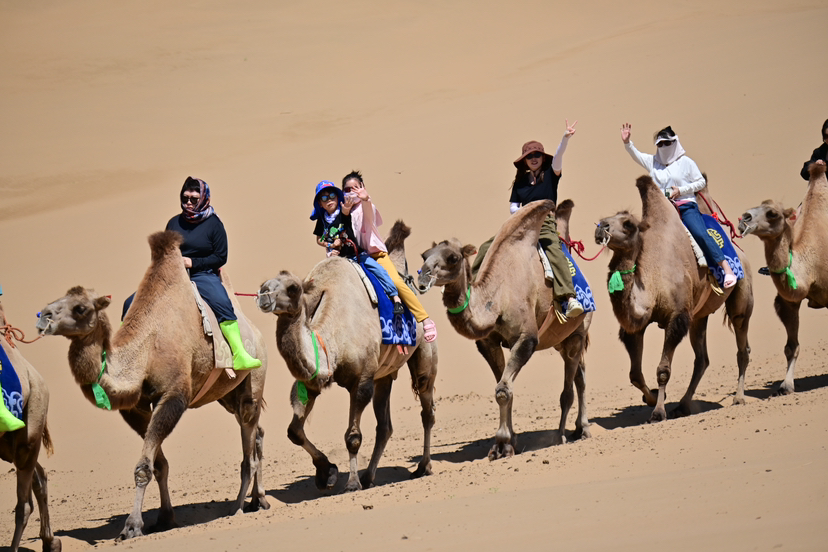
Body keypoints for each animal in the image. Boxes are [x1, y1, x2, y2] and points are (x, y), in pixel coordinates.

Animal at [35, 231, 269, 541]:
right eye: (57, 299)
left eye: (80, 307)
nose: (43, 317)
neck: (145, 352)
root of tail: (254, 331)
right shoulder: (134, 409)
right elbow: (159, 465)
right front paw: (165, 518)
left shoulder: (173, 396)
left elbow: (143, 468)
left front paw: (132, 526)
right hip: (226, 393)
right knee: (257, 434)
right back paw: (259, 499)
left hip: (254, 380)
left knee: (248, 445)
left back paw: (239, 507)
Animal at [256, 221, 437, 492]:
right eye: (266, 282)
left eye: (293, 288)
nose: (263, 293)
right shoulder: (313, 380)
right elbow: (294, 431)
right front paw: (327, 472)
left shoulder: (361, 380)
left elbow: (353, 437)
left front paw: (351, 483)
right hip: (383, 374)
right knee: (385, 427)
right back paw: (369, 476)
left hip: (424, 352)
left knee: (427, 410)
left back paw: (423, 466)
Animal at [417, 199, 592, 460]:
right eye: (425, 255)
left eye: (453, 257)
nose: (421, 278)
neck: (498, 298)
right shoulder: (488, 342)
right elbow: (505, 387)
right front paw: (508, 442)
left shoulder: (526, 338)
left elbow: (502, 390)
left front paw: (502, 443)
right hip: (561, 340)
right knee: (579, 375)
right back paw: (579, 428)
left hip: (578, 332)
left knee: (570, 387)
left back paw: (564, 434)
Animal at [595, 176, 754, 422]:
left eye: (628, 224)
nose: (601, 226)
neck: (653, 280)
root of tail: (740, 252)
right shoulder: (636, 326)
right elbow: (635, 374)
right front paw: (651, 398)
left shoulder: (677, 318)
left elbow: (663, 370)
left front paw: (658, 412)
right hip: (699, 316)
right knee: (702, 359)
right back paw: (684, 405)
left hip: (741, 296)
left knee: (742, 345)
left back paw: (738, 398)